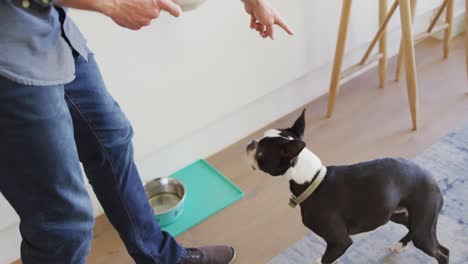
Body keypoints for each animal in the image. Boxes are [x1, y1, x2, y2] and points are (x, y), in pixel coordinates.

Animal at [245, 110, 450, 262]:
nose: (250, 143)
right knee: (413, 229)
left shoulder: (339, 242)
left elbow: (325, 259)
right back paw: (400, 245)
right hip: (396, 214)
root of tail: (433, 179)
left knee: (442, 252)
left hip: (421, 228)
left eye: (261, 152)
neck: (312, 180)